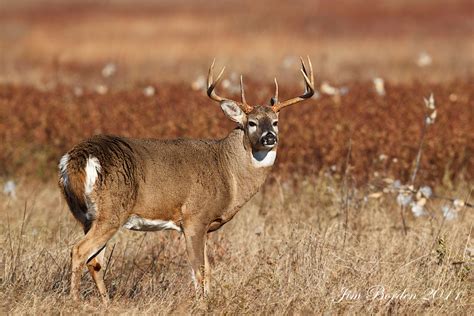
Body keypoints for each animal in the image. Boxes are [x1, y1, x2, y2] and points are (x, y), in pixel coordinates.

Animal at [58, 56, 314, 302]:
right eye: (251, 123)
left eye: (275, 122)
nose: (270, 137)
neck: (227, 171)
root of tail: (76, 157)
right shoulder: (194, 218)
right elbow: (198, 271)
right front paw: (201, 304)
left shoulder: (206, 226)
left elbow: (208, 269)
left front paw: (209, 300)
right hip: (112, 211)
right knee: (79, 251)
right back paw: (75, 301)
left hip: (87, 215)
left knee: (95, 260)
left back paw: (106, 302)